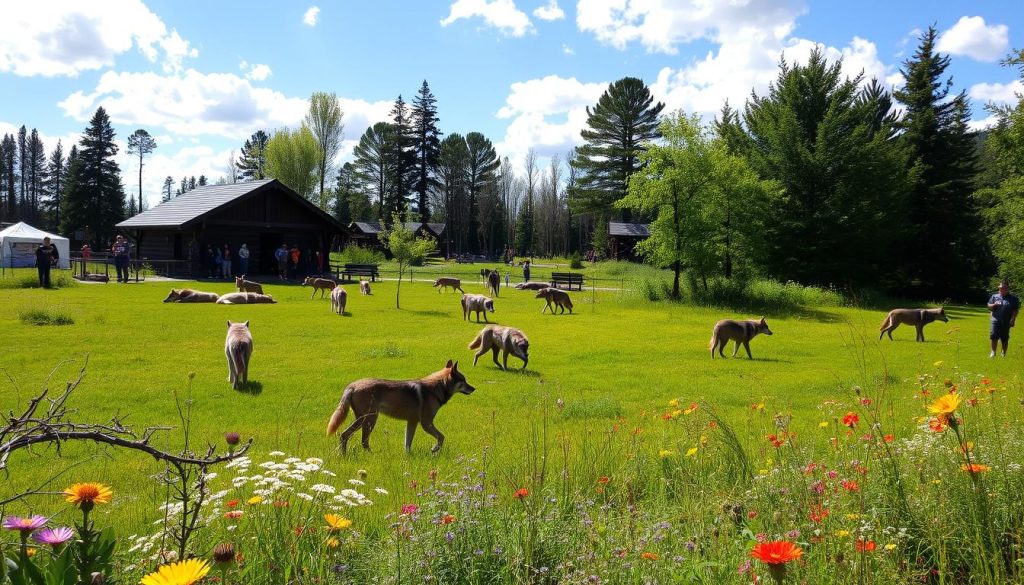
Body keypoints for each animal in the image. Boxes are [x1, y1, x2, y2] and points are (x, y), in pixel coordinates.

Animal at [325, 360, 475, 453]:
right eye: (463, 380)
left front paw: (407, 458)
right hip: (368, 420)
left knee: (352, 438)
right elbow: (441, 437)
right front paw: (434, 449)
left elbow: (407, 444)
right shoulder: (426, 423)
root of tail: (352, 386)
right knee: (352, 437)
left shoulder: (412, 422)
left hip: (365, 420)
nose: (474, 389)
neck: (436, 388)